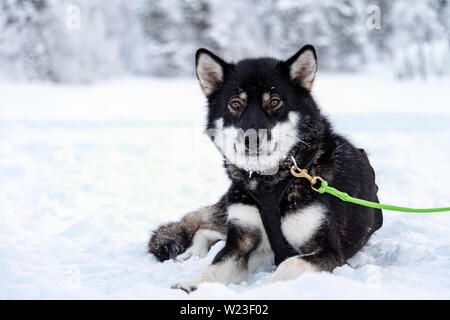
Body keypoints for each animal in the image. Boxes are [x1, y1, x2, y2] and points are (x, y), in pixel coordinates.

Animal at [148, 45, 384, 292]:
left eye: (274, 102)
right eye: (235, 104)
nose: (251, 140)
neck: (270, 182)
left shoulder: (328, 250)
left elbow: (290, 264)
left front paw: (262, 289)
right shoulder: (243, 238)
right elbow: (216, 264)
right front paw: (193, 284)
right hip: (229, 211)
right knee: (205, 228)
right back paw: (193, 252)